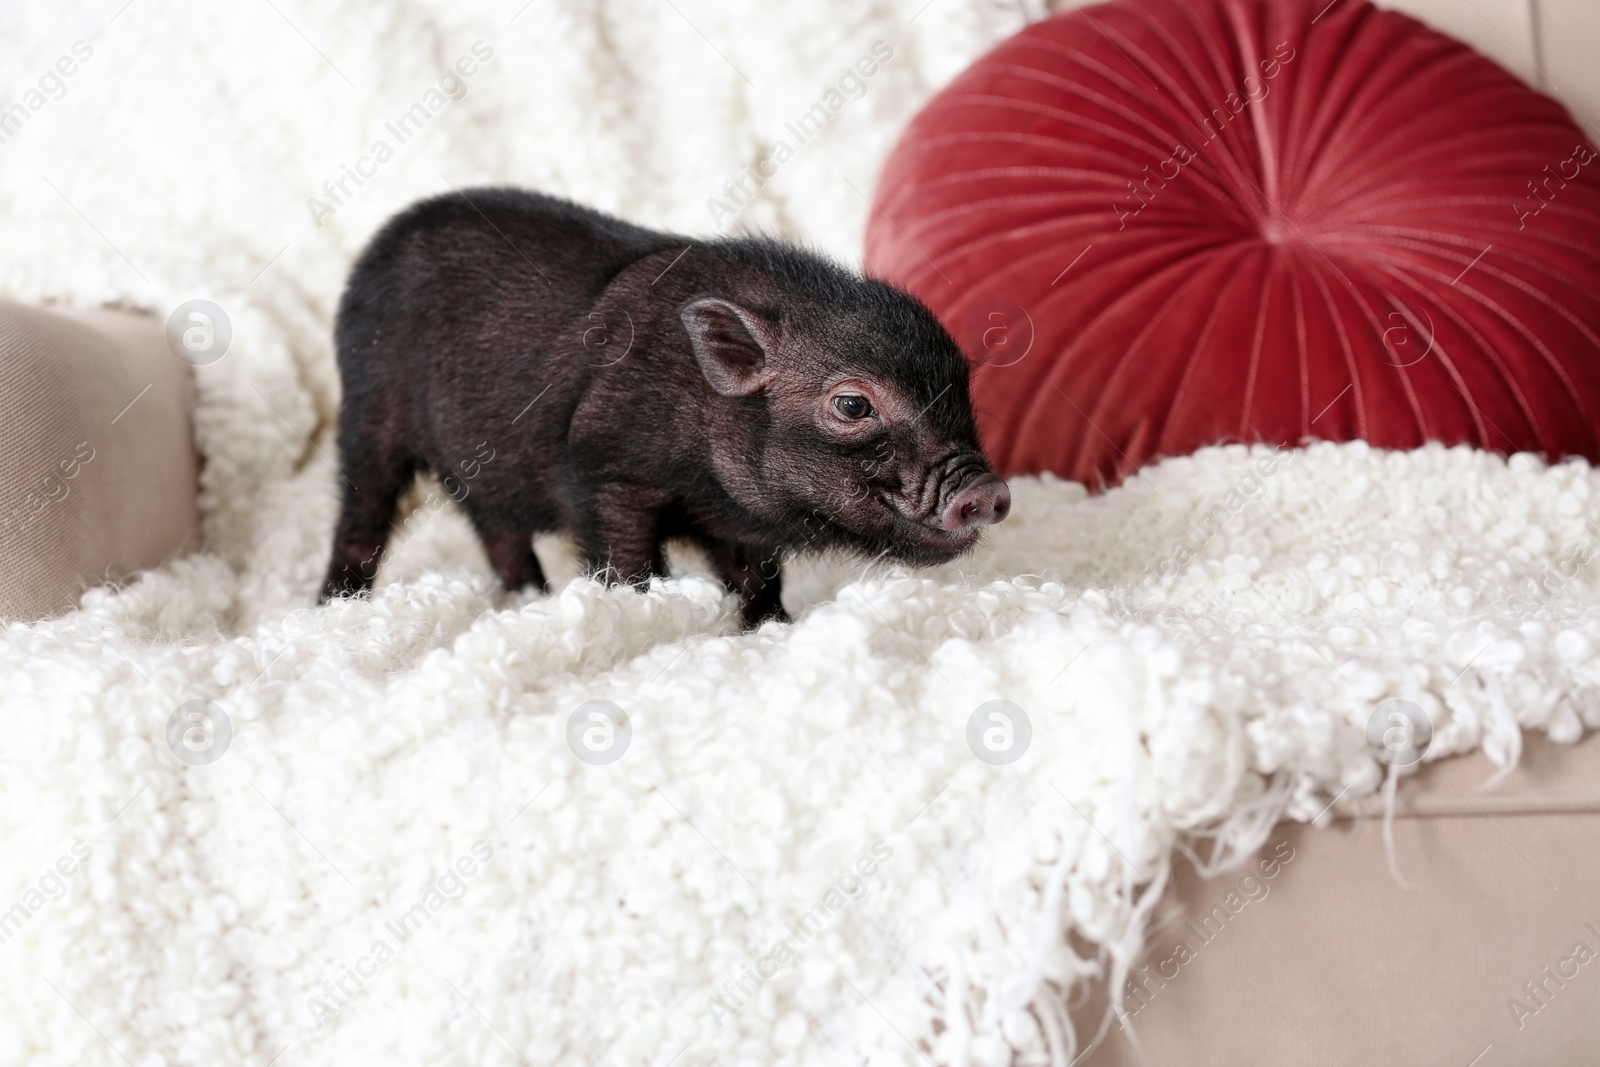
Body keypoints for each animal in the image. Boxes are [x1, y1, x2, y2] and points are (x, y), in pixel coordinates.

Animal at [316, 189, 1004, 627]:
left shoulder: (738, 523)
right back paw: (334, 607)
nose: (990, 490)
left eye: (962, 388)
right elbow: (626, 558)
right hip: (368, 412)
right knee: (360, 516)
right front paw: (635, 610)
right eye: (853, 404)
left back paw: (530, 596)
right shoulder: (603, 465)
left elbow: (758, 577)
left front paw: (773, 626)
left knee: (494, 524)